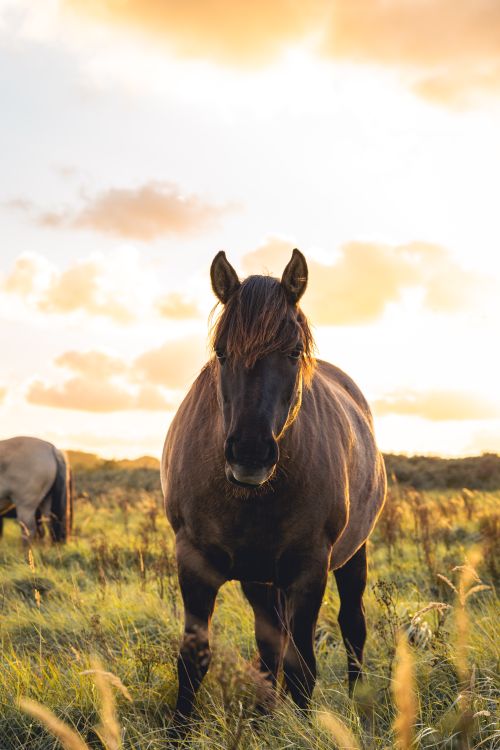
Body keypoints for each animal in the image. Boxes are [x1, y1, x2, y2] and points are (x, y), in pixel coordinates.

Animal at [161, 249, 386, 723]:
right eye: (221, 352)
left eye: (293, 351)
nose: (249, 452)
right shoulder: (193, 562)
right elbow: (193, 660)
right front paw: (179, 730)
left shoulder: (309, 569)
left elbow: (302, 668)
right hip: (260, 580)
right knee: (269, 646)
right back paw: (264, 713)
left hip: (351, 556)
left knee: (352, 628)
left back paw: (356, 701)